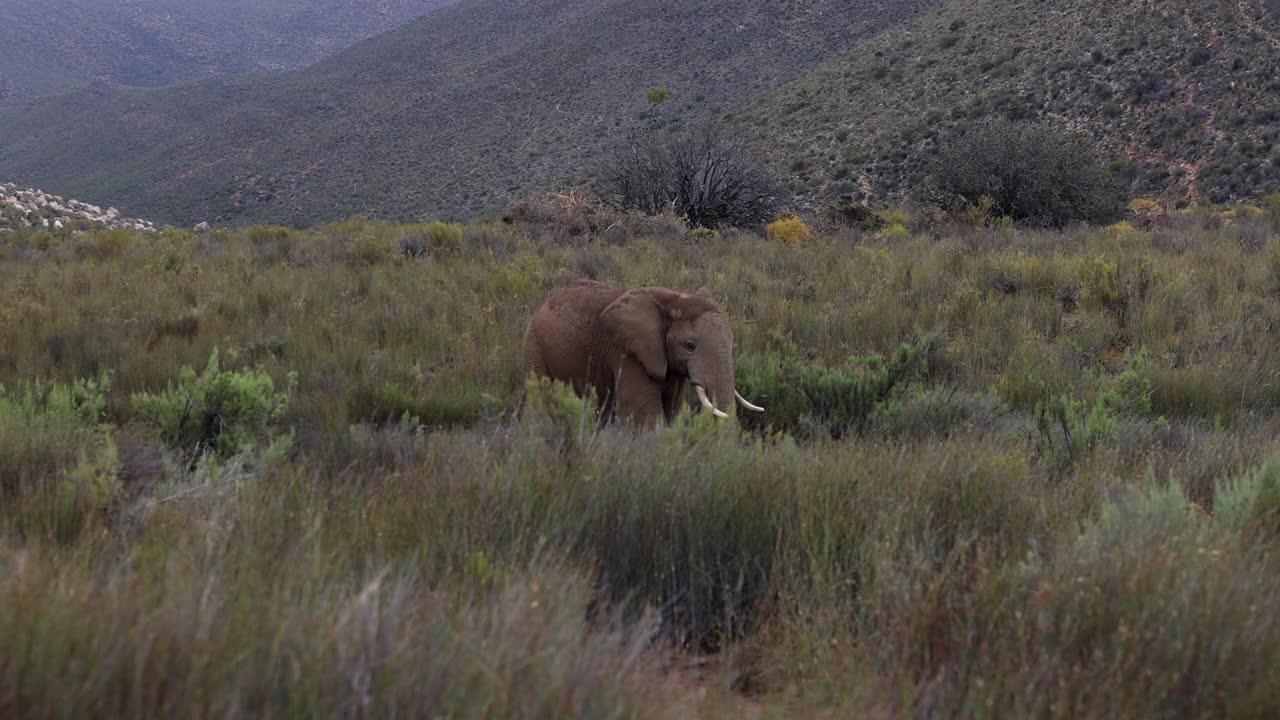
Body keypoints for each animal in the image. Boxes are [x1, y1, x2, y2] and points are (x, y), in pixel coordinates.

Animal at [524, 278, 762, 425]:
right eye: (689, 345)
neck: (675, 299)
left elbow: (672, 411)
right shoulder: (628, 353)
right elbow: (645, 415)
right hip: (535, 346)